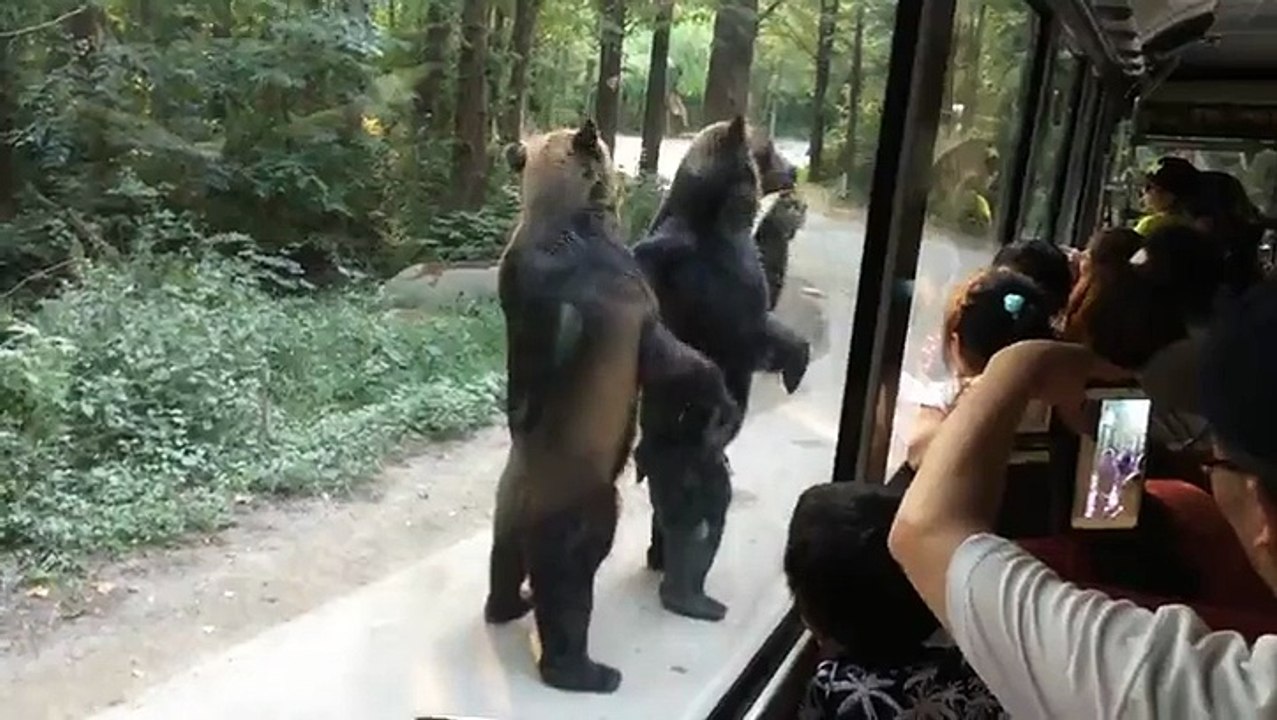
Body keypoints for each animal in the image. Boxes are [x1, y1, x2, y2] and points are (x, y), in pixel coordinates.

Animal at [486, 119, 741, 693]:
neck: (565, 221)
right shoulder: (633, 305)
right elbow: (672, 357)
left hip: (507, 507)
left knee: (503, 559)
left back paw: (508, 604)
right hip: (586, 510)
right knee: (568, 582)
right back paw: (586, 670)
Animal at [631, 116, 812, 622]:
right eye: (769, 149)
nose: (795, 170)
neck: (719, 220)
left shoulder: (748, 279)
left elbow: (769, 318)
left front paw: (796, 364)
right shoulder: (680, 258)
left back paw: (658, 556)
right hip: (689, 447)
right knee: (703, 508)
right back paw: (692, 594)